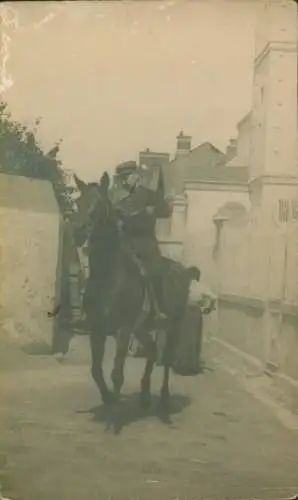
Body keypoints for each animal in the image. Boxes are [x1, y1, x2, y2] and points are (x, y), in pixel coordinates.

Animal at [70, 172, 189, 414]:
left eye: (98, 205)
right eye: (78, 202)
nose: (77, 232)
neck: (110, 277)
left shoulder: (123, 330)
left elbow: (117, 373)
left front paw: (115, 411)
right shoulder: (97, 329)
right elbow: (96, 369)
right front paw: (107, 399)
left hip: (172, 327)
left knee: (166, 359)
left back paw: (164, 398)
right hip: (142, 329)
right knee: (151, 351)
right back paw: (144, 396)